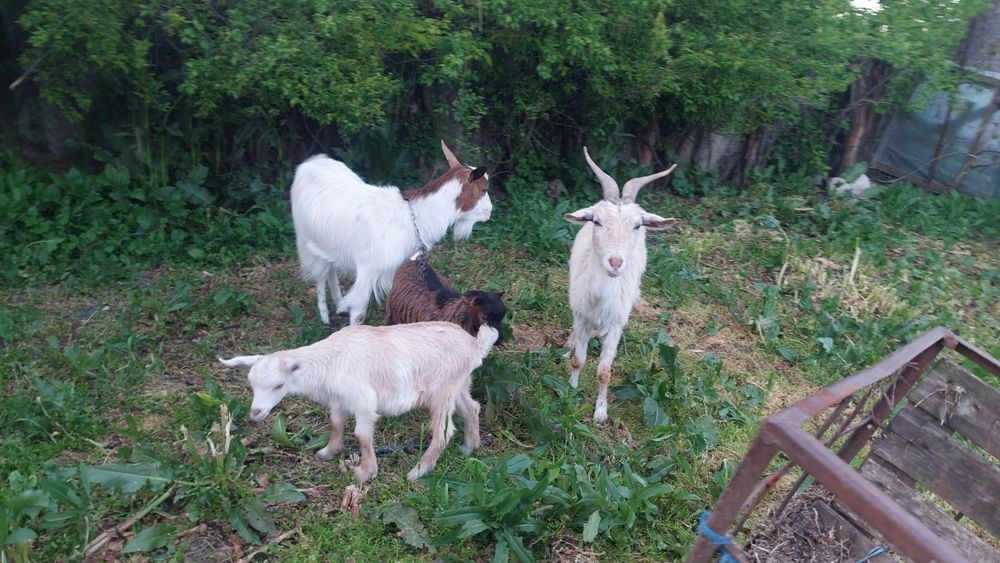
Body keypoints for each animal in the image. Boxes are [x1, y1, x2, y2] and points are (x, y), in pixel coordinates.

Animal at [219, 322, 498, 482]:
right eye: (252, 384)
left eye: (278, 385)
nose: (256, 412)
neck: (330, 360)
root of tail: (474, 344)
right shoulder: (339, 399)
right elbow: (336, 424)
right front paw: (329, 451)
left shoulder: (363, 400)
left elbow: (362, 434)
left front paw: (365, 472)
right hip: (458, 384)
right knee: (472, 408)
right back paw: (470, 446)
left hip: (441, 391)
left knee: (443, 432)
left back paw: (418, 471)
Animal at [290, 141, 492, 326]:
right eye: (484, 190)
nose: (490, 212)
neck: (411, 217)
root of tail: (311, 163)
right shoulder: (368, 268)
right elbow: (359, 314)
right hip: (305, 237)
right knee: (320, 272)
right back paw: (324, 315)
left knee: (330, 268)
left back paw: (339, 304)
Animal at [564, 147, 678, 422]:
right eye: (596, 221)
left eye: (637, 225)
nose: (615, 262)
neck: (601, 298)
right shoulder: (582, 317)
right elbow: (578, 360)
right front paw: (571, 389)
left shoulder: (616, 324)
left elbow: (604, 371)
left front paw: (600, 412)